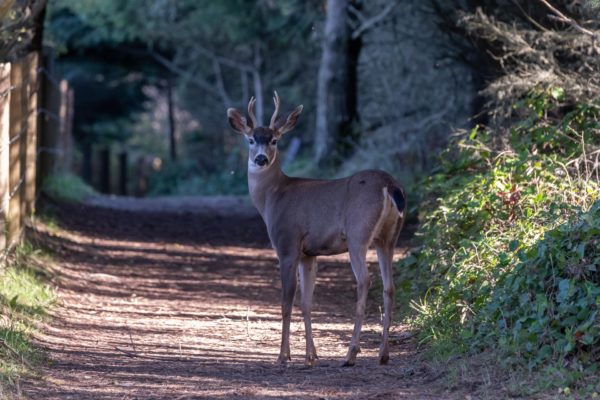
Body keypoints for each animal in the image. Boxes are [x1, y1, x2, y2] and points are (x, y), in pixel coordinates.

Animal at [227, 92, 406, 368]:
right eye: (251, 140)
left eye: (275, 140)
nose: (261, 159)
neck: (273, 197)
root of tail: (390, 185)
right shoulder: (309, 254)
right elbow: (306, 303)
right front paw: (311, 356)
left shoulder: (287, 244)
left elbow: (286, 303)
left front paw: (283, 356)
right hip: (388, 238)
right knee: (390, 286)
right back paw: (383, 354)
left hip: (358, 233)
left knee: (365, 280)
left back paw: (351, 354)